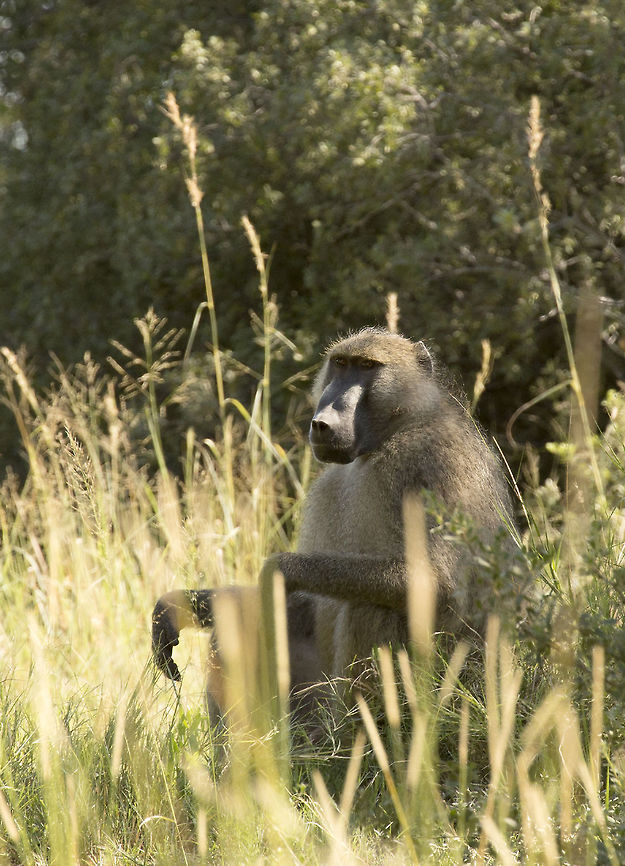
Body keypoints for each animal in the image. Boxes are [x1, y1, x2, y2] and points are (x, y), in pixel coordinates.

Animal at [152, 327, 515, 711]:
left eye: (367, 367)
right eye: (340, 364)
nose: (322, 422)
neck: (389, 435)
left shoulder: (434, 461)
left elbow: (438, 581)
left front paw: (280, 570)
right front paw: (179, 606)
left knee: (370, 606)